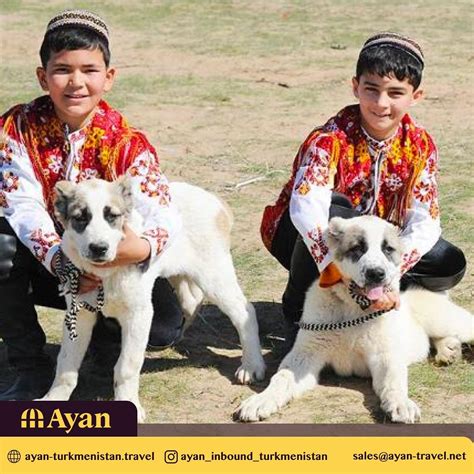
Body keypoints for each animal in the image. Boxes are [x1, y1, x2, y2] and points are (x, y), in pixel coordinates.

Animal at [39, 178, 264, 422]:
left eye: (112, 216)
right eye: (80, 218)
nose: (98, 248)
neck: (105, 275)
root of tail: (216, 201)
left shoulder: (139, 314)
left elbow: (126, 366)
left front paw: (129, 404)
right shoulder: (78, 314)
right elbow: (66, 364)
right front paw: (54, 399)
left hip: (214, 275)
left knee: (245, 312)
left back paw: (252, 365)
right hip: (182, 276)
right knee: (192, 301)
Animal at [235, 215, 472, 422]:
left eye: (388, 249)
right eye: (357, 248)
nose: (376, 273)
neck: (353, 308)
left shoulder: (385, 356)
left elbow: (394, 381)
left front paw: (401, 403)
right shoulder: (305, 355)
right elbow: (282, 378)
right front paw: (260, 400)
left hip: (445, 320)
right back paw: (448, 350)